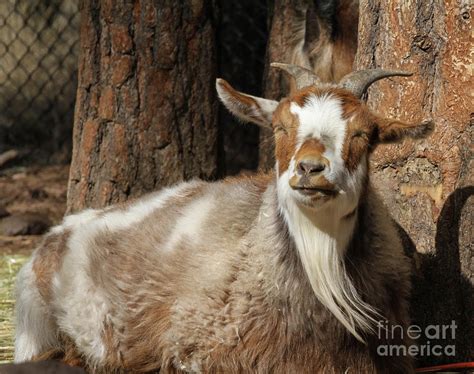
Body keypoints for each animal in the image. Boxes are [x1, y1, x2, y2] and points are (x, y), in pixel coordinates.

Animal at [13, 64, 434, 372]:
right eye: (280, 127)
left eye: (364, 133)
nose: (310, 169)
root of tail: (57, 232)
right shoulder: (199, 350)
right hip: (35, 330)